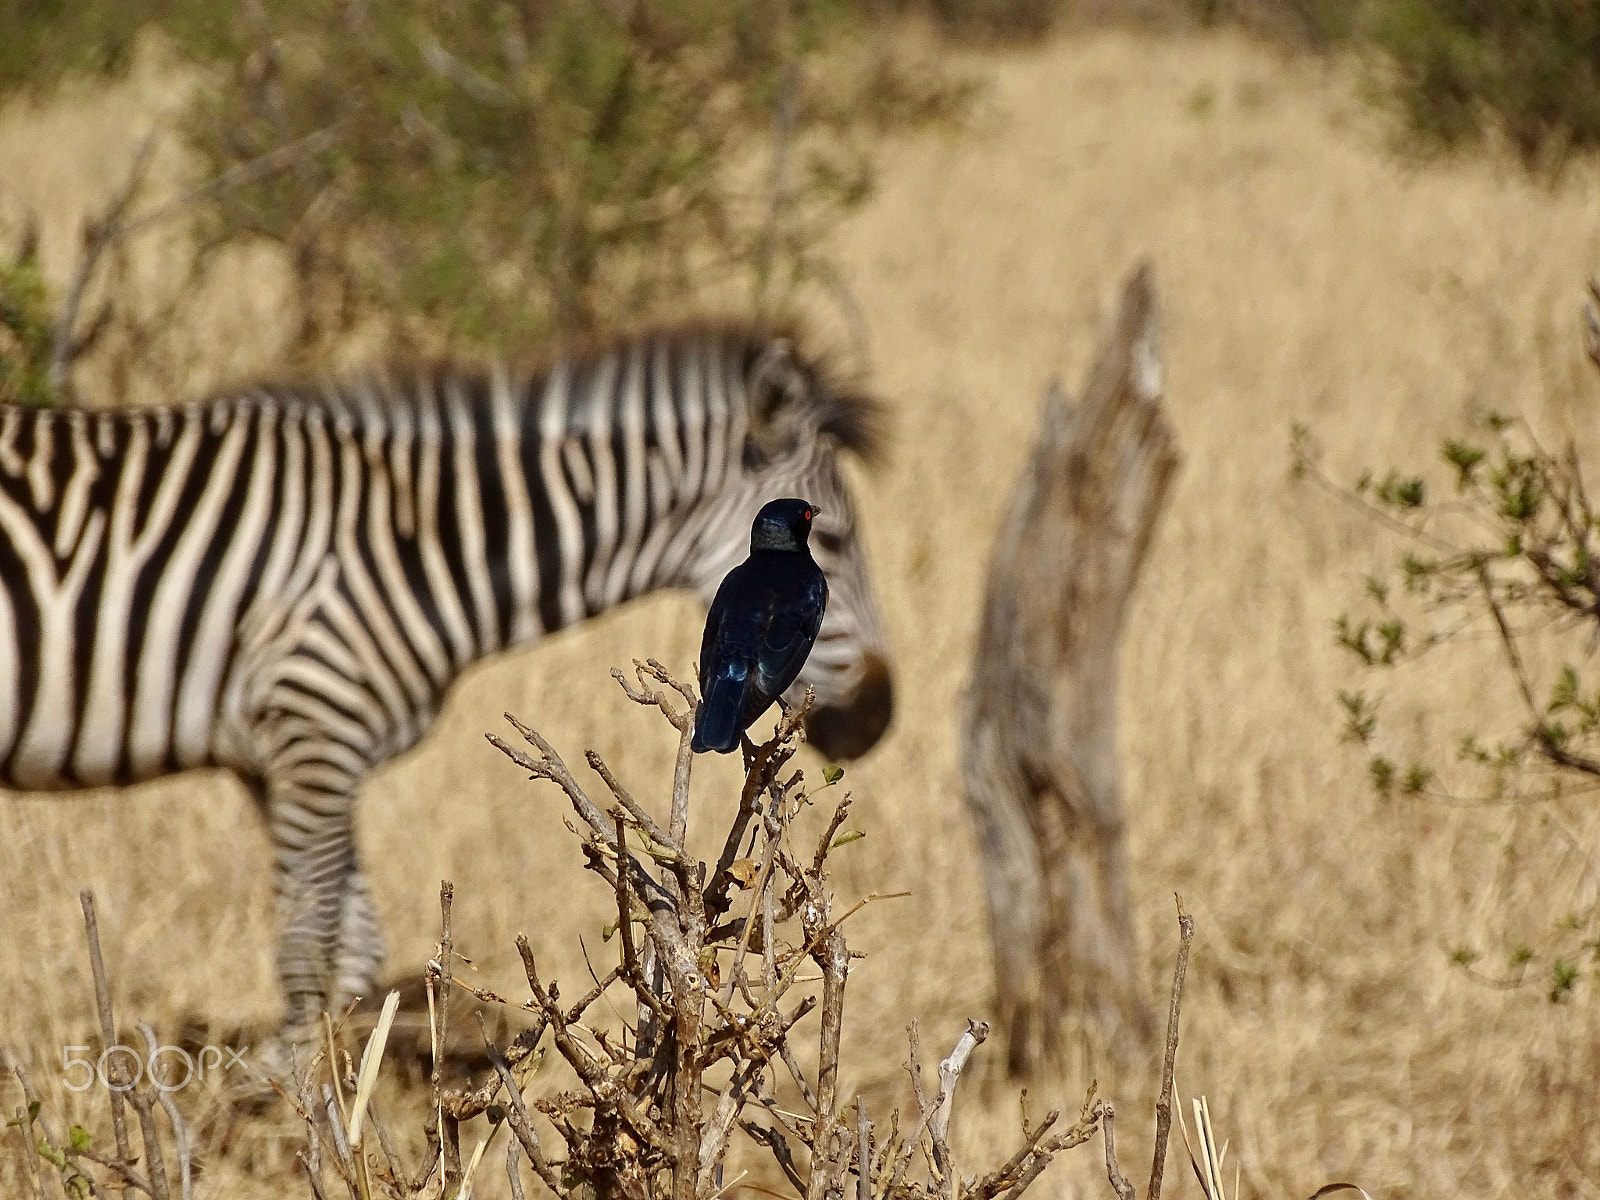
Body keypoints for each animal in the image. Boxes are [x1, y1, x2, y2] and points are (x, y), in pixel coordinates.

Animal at [0, 321, 896, 1049]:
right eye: (834, 542)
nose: (879, 719)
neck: (412, 542)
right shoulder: (315, 724)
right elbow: (308, 948)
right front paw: (294, 1108)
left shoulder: (280, 753)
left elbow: (352, 951)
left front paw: (325, 1103)